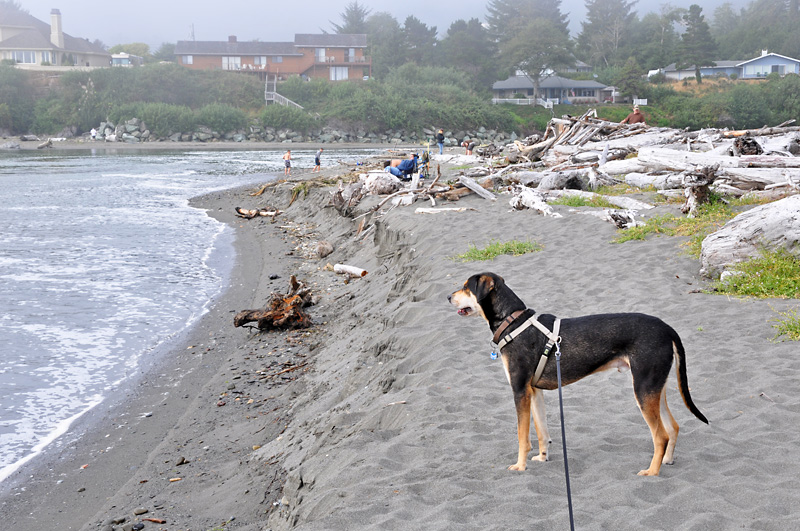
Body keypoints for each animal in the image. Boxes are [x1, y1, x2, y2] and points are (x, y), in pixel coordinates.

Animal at [446, 272, 708, 476]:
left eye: (466, 287)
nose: (448, 297)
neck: (513, 322)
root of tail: (667, 328)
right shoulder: (534, 391)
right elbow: (541, 432)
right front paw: (543, 458)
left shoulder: (520, 391)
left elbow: (523, 436)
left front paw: (520, 466)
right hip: (654, 388)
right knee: (673, 427)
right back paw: (666, 460)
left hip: (643, 390)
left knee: (660, 435)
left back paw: (652, 471)